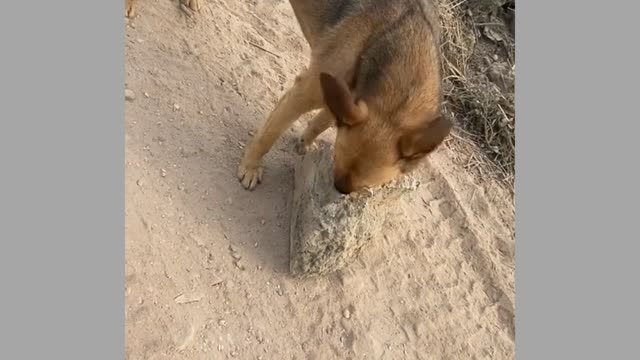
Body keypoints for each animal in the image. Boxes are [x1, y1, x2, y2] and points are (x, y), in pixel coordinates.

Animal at [238, 0, 452, 194]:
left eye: (366, 187)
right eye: (335, 161)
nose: (340, 189)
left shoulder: (342, 98)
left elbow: (320, 122)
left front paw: (304, 142)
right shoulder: (305, 93)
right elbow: (269, 135)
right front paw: (251, 166)